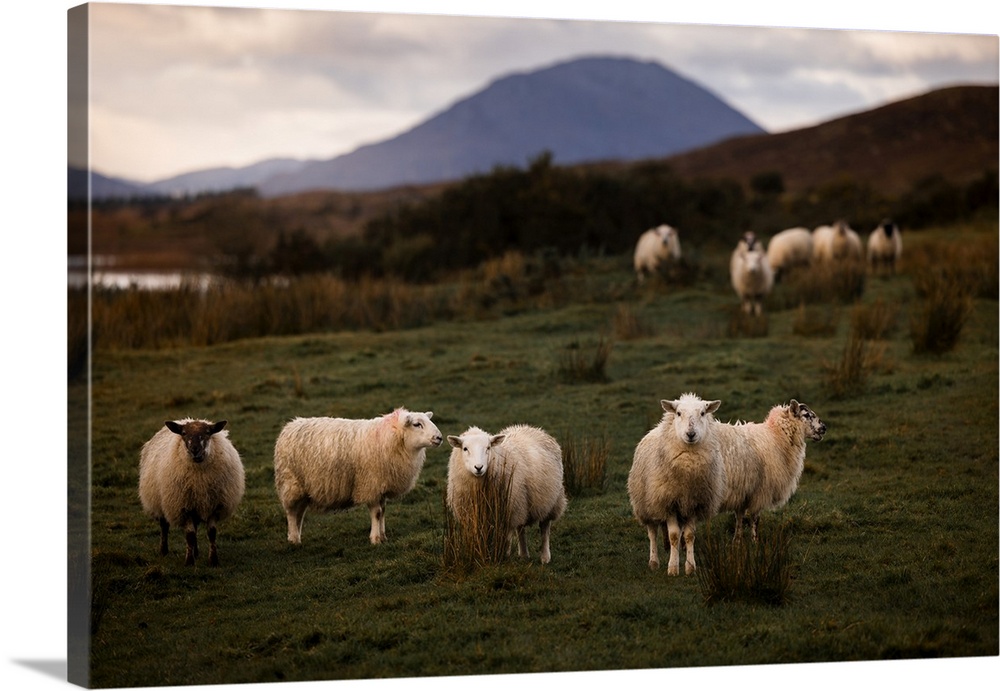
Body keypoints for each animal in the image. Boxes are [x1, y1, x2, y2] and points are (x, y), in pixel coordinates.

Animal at [139, 418, 246, 564]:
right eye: (184, 433)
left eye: (208, 432)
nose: (195, 449)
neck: (199, 479)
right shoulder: (183, 507)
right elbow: (189, 535)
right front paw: (189, 561)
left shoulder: (214, 505)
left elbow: (211, 533)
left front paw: (213, 560)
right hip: (161, 502)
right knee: (164, 526)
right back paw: (164, 551)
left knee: (194, 527)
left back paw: (196, 552)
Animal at [276, 406, 444, 548]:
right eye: (417, 424)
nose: (439, 438)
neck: (393, 438)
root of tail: (290, 425)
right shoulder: (371, 484)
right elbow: (377, 513)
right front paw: (375, 539)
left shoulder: (381, 487)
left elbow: (383, 511)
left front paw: (383, 537)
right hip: (291, 482)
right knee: (291, 512)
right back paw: (294, 539)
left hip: (303, 487)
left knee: (300, 512)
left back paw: (296, 534)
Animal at [444, 424, 564, 564]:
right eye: (465, 448)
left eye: (488, 447)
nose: (478, 467)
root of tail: (533, 428)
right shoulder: (471, 514)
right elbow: (476, 535)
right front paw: (477, 553)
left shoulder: (507, 511)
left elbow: (506, 538)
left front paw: (502, 557)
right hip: (522, 502)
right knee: (521, 529)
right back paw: (524, 555)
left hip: (551, 501)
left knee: (544, 528)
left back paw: (545, 557)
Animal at [624, 392, 728, 576]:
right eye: (678, 413)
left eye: (703, 413)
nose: (691, 434)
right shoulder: (668, 503)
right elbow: (672, 536)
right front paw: (673, 568)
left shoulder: (694, 503)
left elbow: (689, 536)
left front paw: (690, 566)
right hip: (647, 503)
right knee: (652, 532)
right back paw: (654, 561)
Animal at [720, 400, 828, 540]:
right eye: (807, 415)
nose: (824, 427)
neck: (776, 435)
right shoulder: (761, 490)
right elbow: (755, 519)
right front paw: (755, 541)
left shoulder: (743, 491)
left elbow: (739, 519)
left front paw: (737, 541)